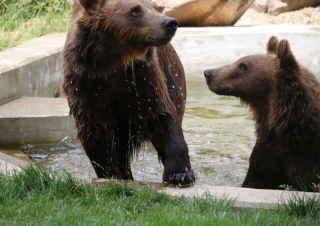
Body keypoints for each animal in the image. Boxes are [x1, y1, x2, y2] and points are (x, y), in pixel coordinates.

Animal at [61, 0, 194, 187]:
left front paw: (179, 174)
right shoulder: (85, 82)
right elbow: (95, 132)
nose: (170, 23)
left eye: (154, 7)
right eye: (135, 11)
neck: (113, 61)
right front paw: (113, 175)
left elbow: (161, 115)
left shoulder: (142, 78)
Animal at [205, 35, 320, 191]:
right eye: (240, 61)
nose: (208, 73)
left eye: (243, 65)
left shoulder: (308, 160)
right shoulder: (268, 151)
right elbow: (256, 178)